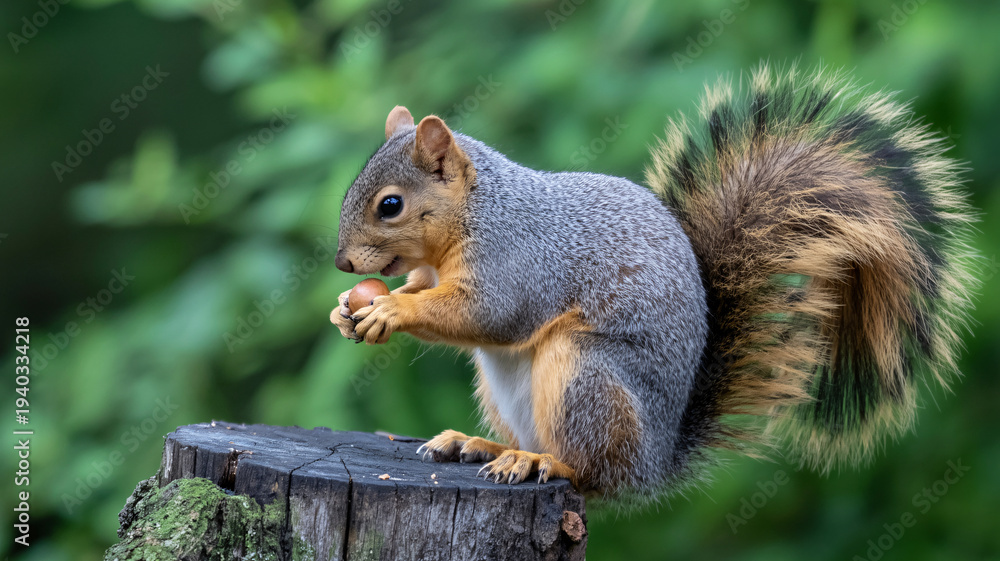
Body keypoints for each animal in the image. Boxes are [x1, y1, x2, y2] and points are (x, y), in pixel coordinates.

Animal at [330, 65, 978, 500]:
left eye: (390, 205)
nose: (341, 265)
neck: (473, 214)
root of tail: (656, 464)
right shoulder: (433, 271)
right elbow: (424, 293)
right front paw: (349, 309)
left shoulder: (519, 261)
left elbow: (488, 314)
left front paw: (390, 313)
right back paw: (486, 446)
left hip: (586, 376)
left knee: (594, 474)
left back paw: (542, 464)